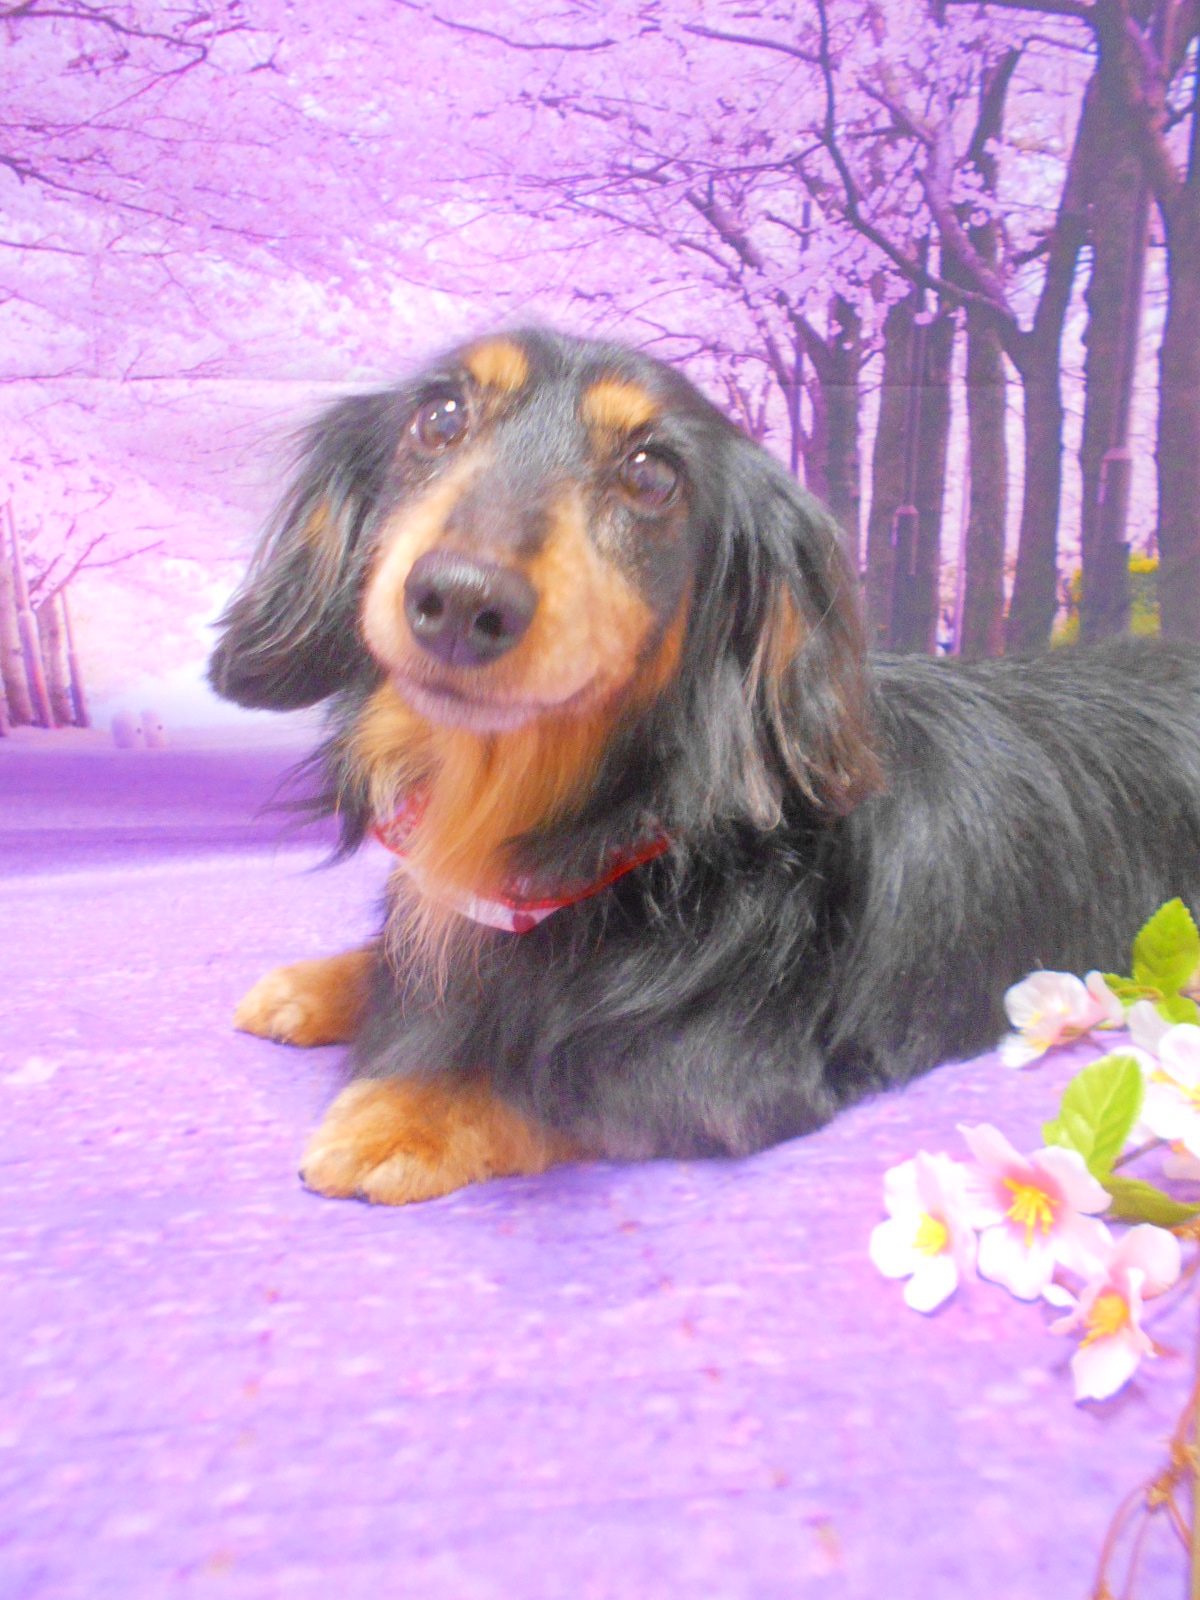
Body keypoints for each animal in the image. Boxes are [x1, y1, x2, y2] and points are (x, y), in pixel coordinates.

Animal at [210, 328, 1200, 1206]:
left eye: (652, 474)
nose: (460, 599)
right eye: (440, 416)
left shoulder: (720, 1072)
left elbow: (551, 1073)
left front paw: (408, 1114)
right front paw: (328, 980)